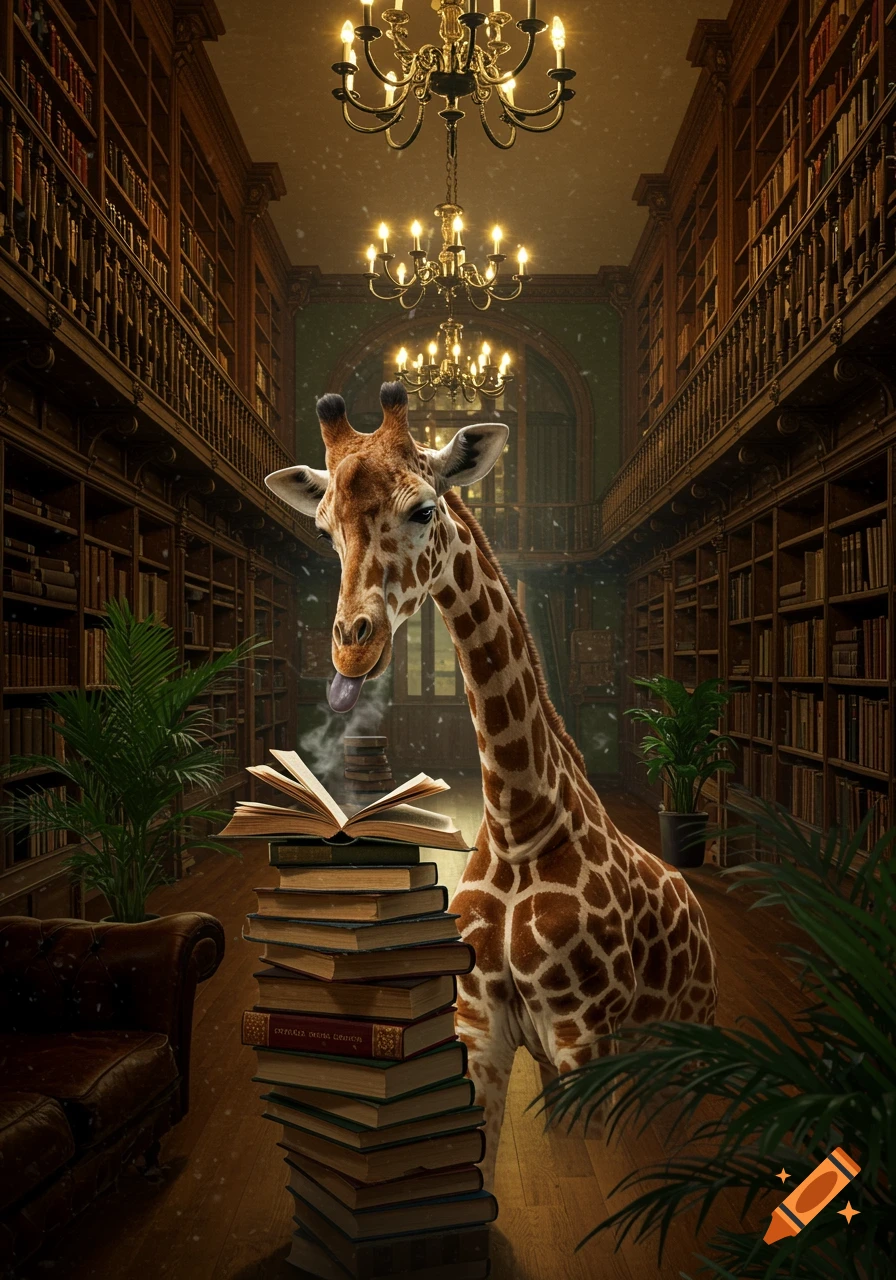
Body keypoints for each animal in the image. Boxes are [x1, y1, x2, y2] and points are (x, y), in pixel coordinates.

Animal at [266, 382, 718, 1190]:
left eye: (424, 509)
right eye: (323, 529)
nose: (352, 649)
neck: (518, 822)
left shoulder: (584, 1037)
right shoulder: (481, 1028)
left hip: (681, 1047)